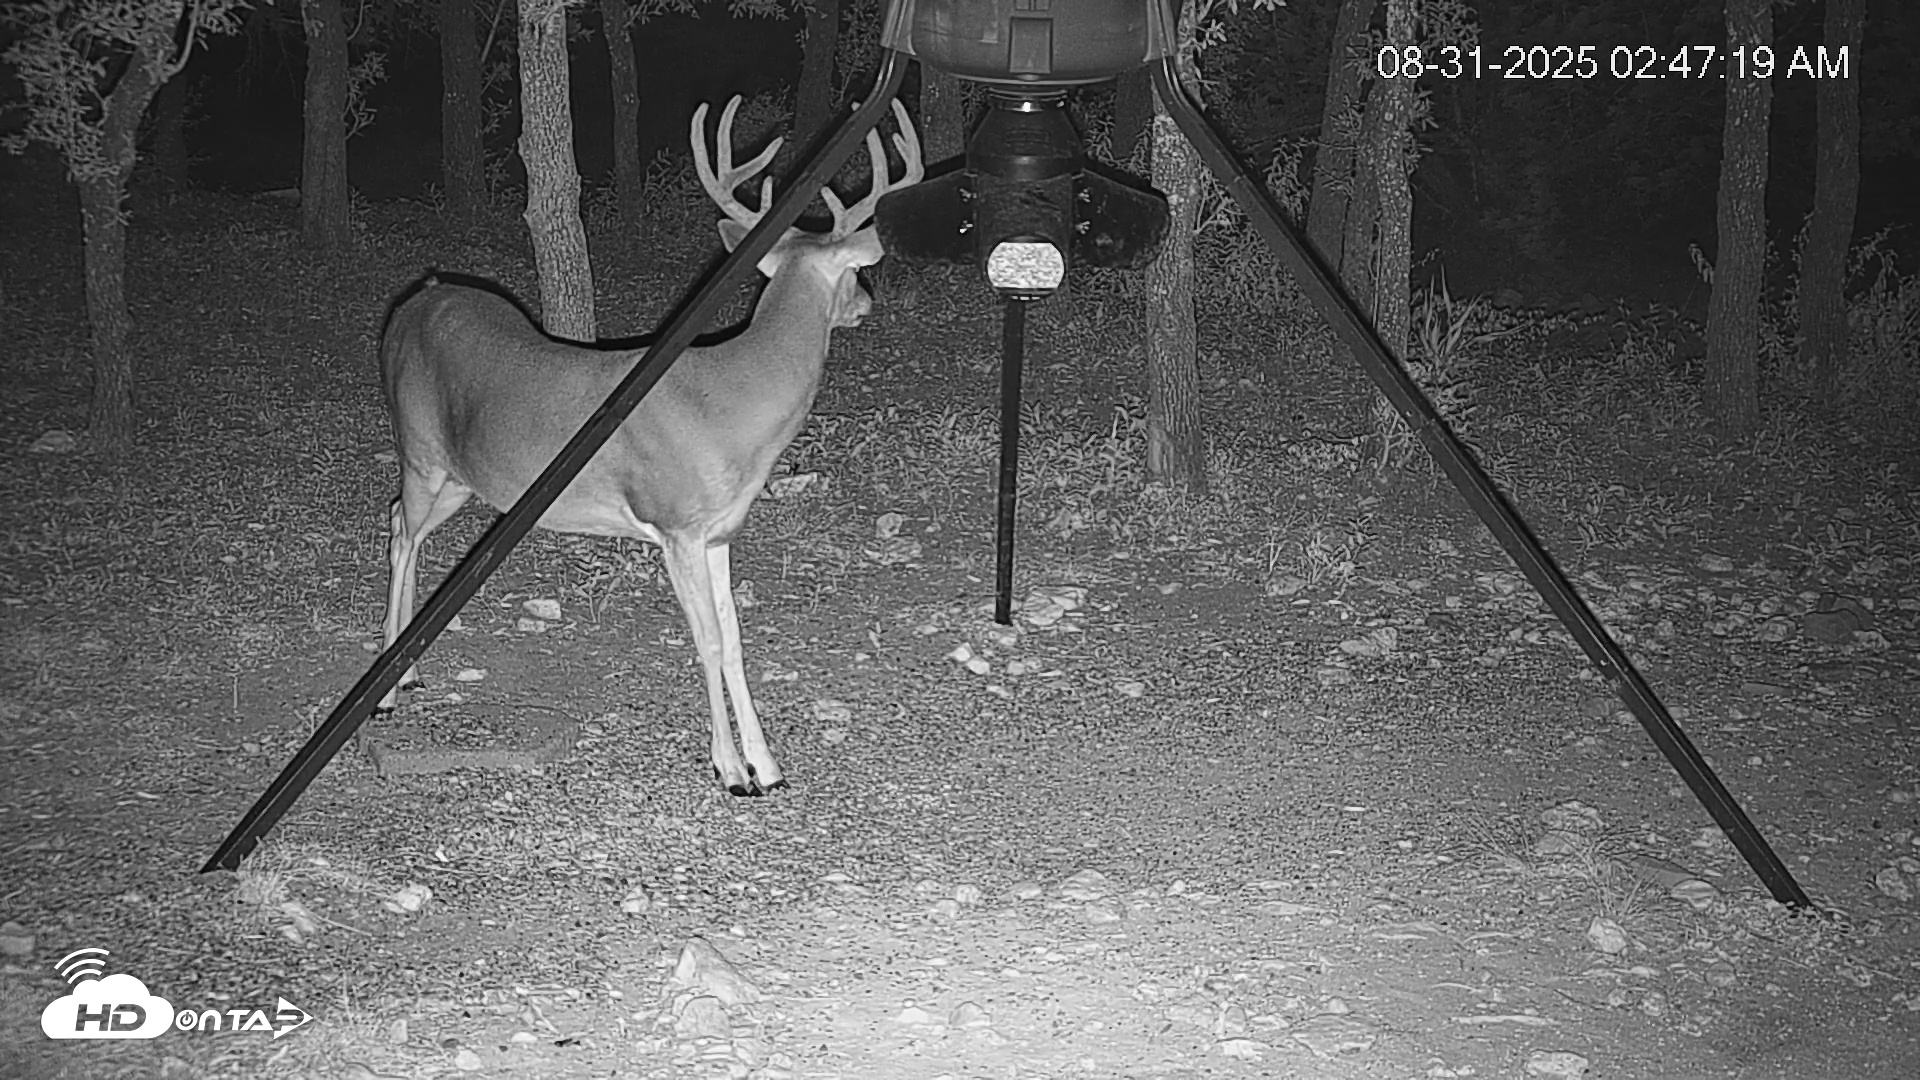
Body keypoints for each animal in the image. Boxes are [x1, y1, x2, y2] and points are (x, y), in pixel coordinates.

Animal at [376, 96, 922, 795]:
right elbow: (708, 641)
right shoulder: (676, 523)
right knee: (400, 532)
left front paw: (768, 766)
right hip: (418, 449)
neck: (733, 402)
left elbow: (736, 639)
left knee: (401, 523)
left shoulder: (718, 531)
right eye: (857, 270)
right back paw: (387, 691)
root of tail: (413, 301)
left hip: (463, 479)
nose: (866, 302)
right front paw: (730, 769)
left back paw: (411, 671)